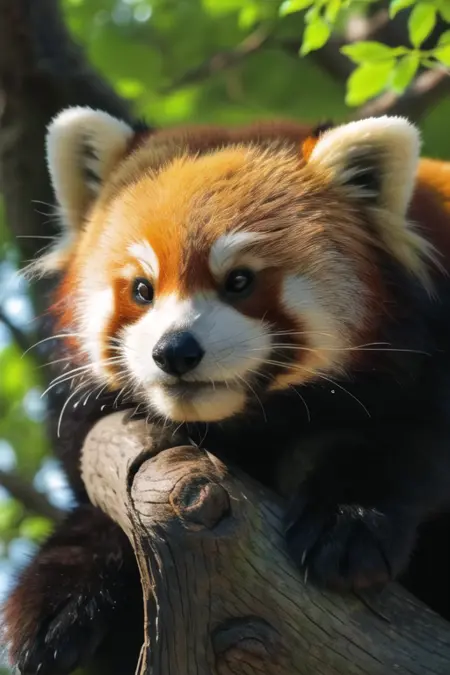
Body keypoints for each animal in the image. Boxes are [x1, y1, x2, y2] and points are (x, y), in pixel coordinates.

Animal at [3, 109, 450, 675]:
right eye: (142, 290)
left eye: (239, 281)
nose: (175, 351)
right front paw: (59, 594)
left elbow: (401, 445)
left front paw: (347, 524)